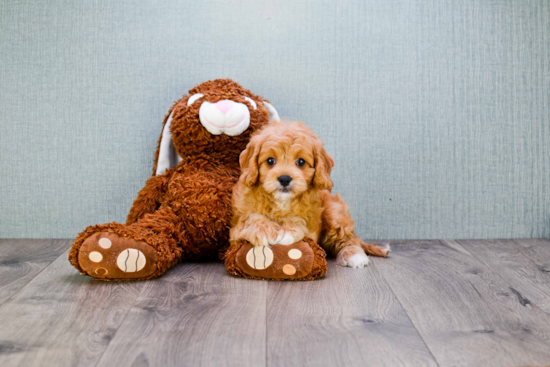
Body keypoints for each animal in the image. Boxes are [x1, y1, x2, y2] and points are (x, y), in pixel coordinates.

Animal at [231, 122, 390, 268]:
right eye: (270, 160)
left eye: (301, 162)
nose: (284, 179)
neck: (282, 201)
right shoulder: (235, 231)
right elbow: (251, 220)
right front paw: (264, 229)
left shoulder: (311, 229)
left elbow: (299, 222)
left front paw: (288, 230)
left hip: (334, 212)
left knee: (348, 237)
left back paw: (354, 255)